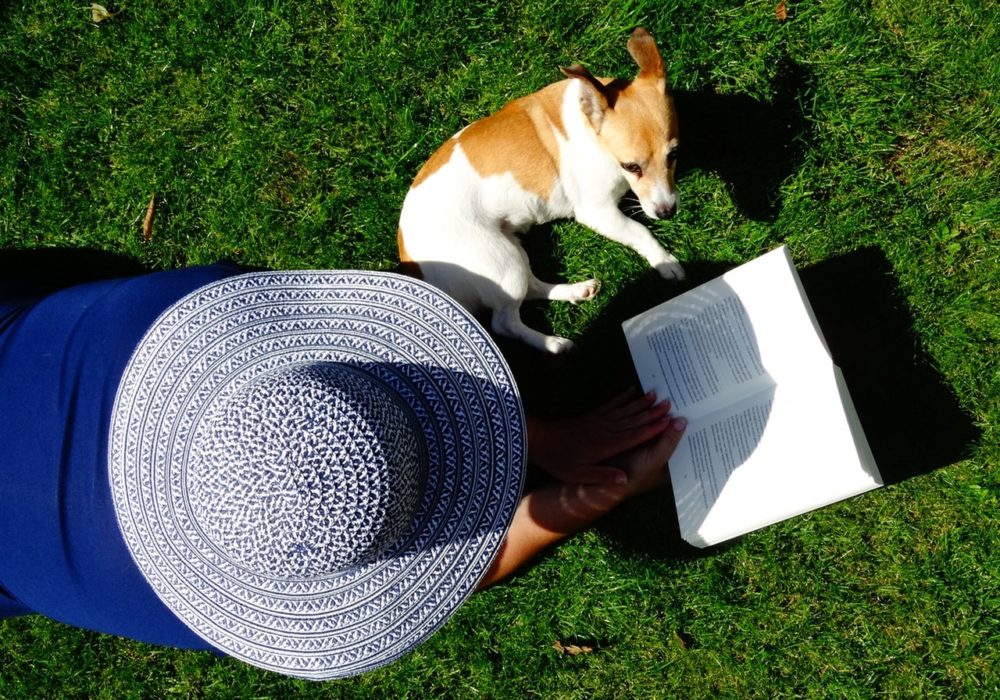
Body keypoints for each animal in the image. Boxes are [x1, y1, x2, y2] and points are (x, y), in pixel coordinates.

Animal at [397, 28, 683, 353]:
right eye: (631, 166)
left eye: (674, 154)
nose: (668, 212)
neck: (590, 127)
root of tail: (412, 264)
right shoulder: (598, 213)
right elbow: (640, 231)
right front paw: (665, 262)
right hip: (500, 262)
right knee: (505, 322)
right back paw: (554, 343)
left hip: (511, 250)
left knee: (532, 287)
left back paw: (576, 290)